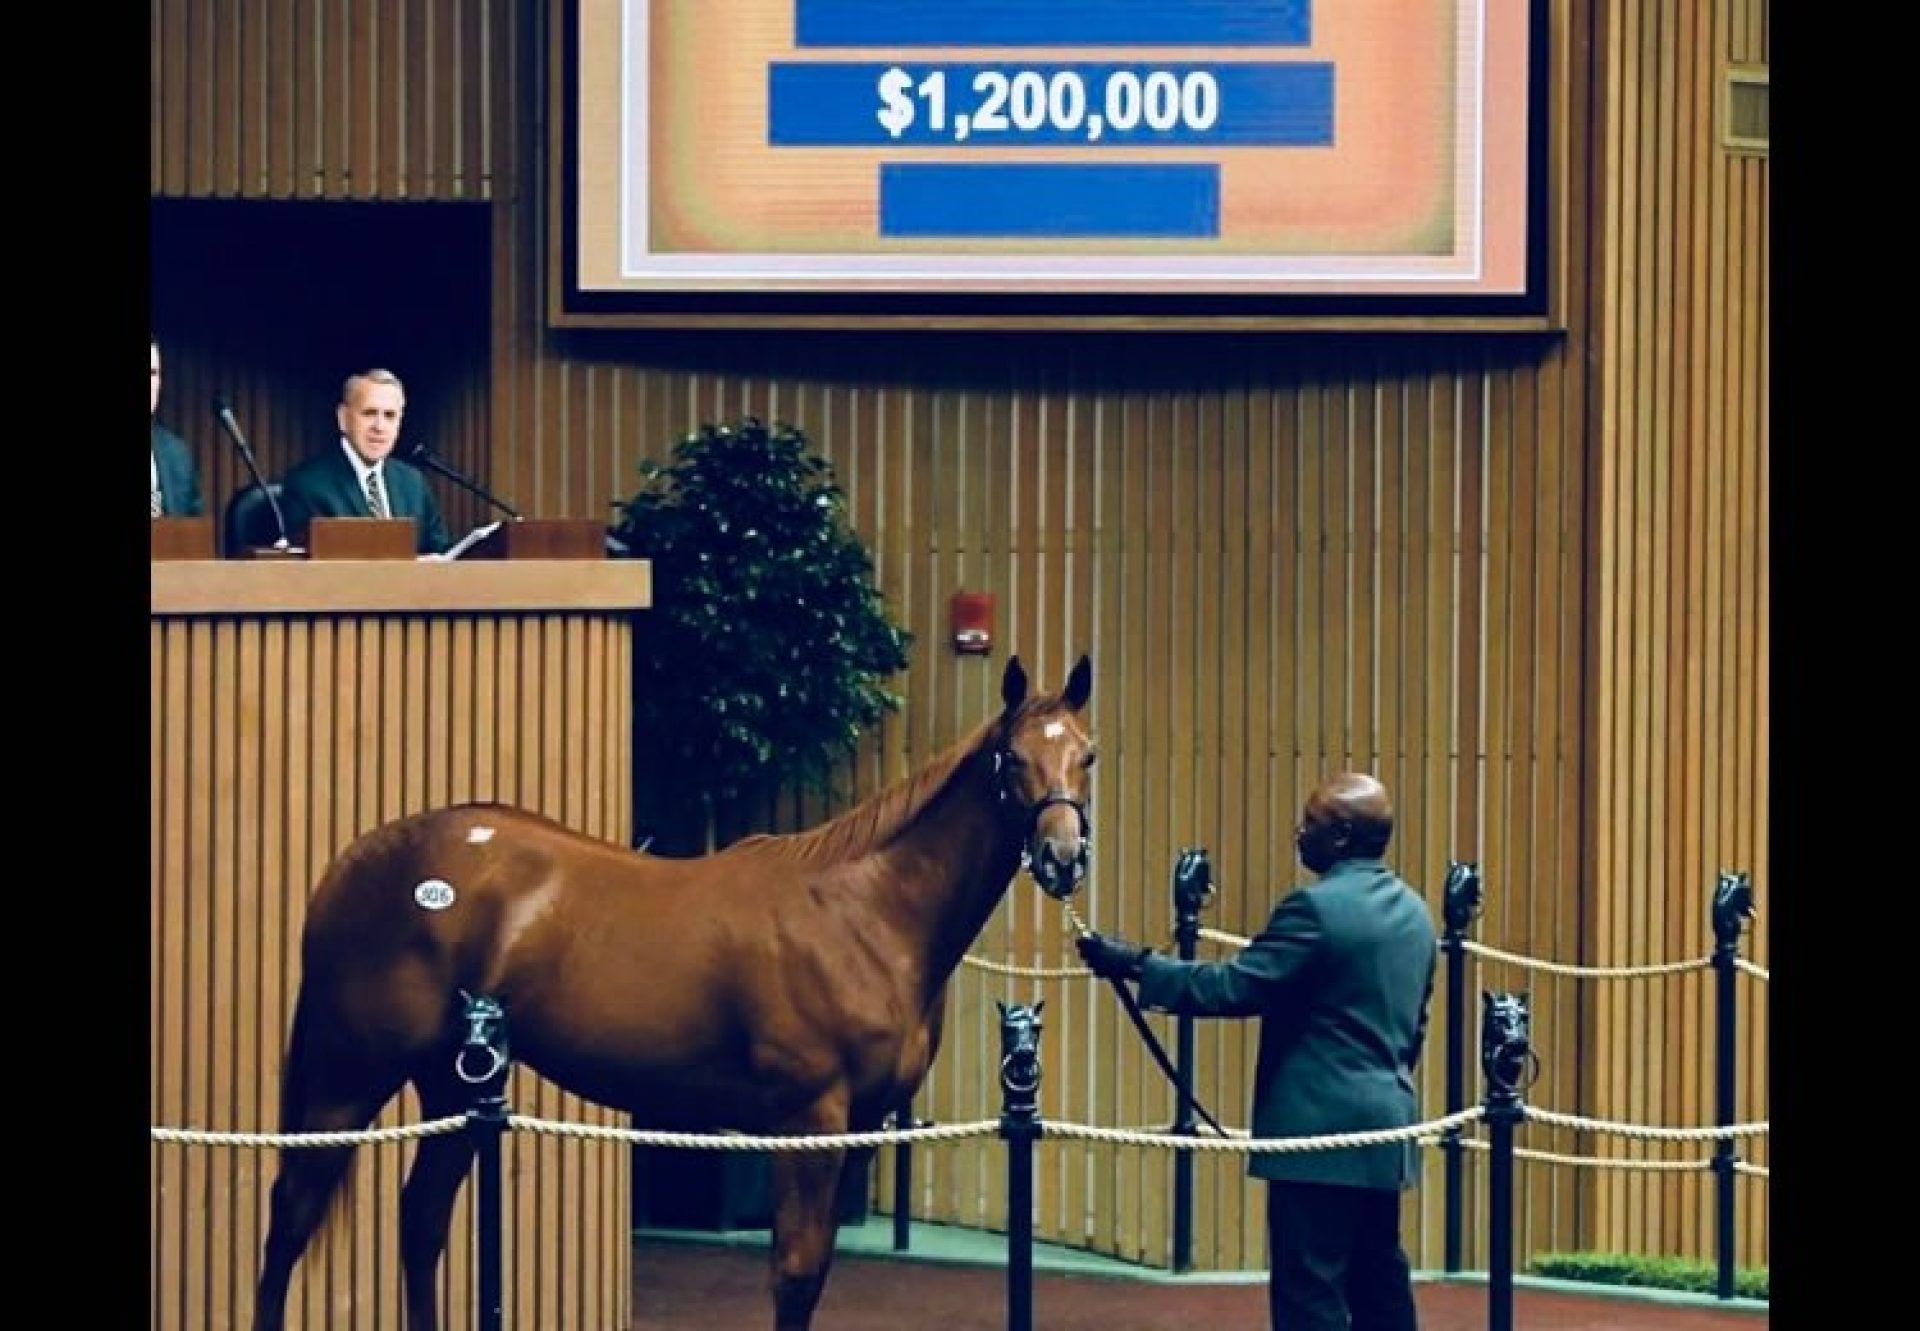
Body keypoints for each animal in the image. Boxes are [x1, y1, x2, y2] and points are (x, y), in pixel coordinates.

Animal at [253, 656, 1098, 1329]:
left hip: (454, 1085)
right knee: (289, 1215)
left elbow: (815, 1273)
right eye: (1011, 759)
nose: (1063, 857)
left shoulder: (855, 1130)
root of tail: (355, 861)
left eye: (1086, 756)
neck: (864, 911)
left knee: (419, 1221)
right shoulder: (809, 1123)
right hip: (348, 1073)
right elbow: (793, 1277)